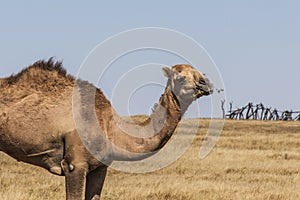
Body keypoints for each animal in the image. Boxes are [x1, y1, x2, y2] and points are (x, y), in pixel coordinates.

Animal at [0, 58, 213, 199]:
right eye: (180, 77)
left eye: (200, 72)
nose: (206, 83)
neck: (110, 127)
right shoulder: (74, 165)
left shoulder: (100, 167)